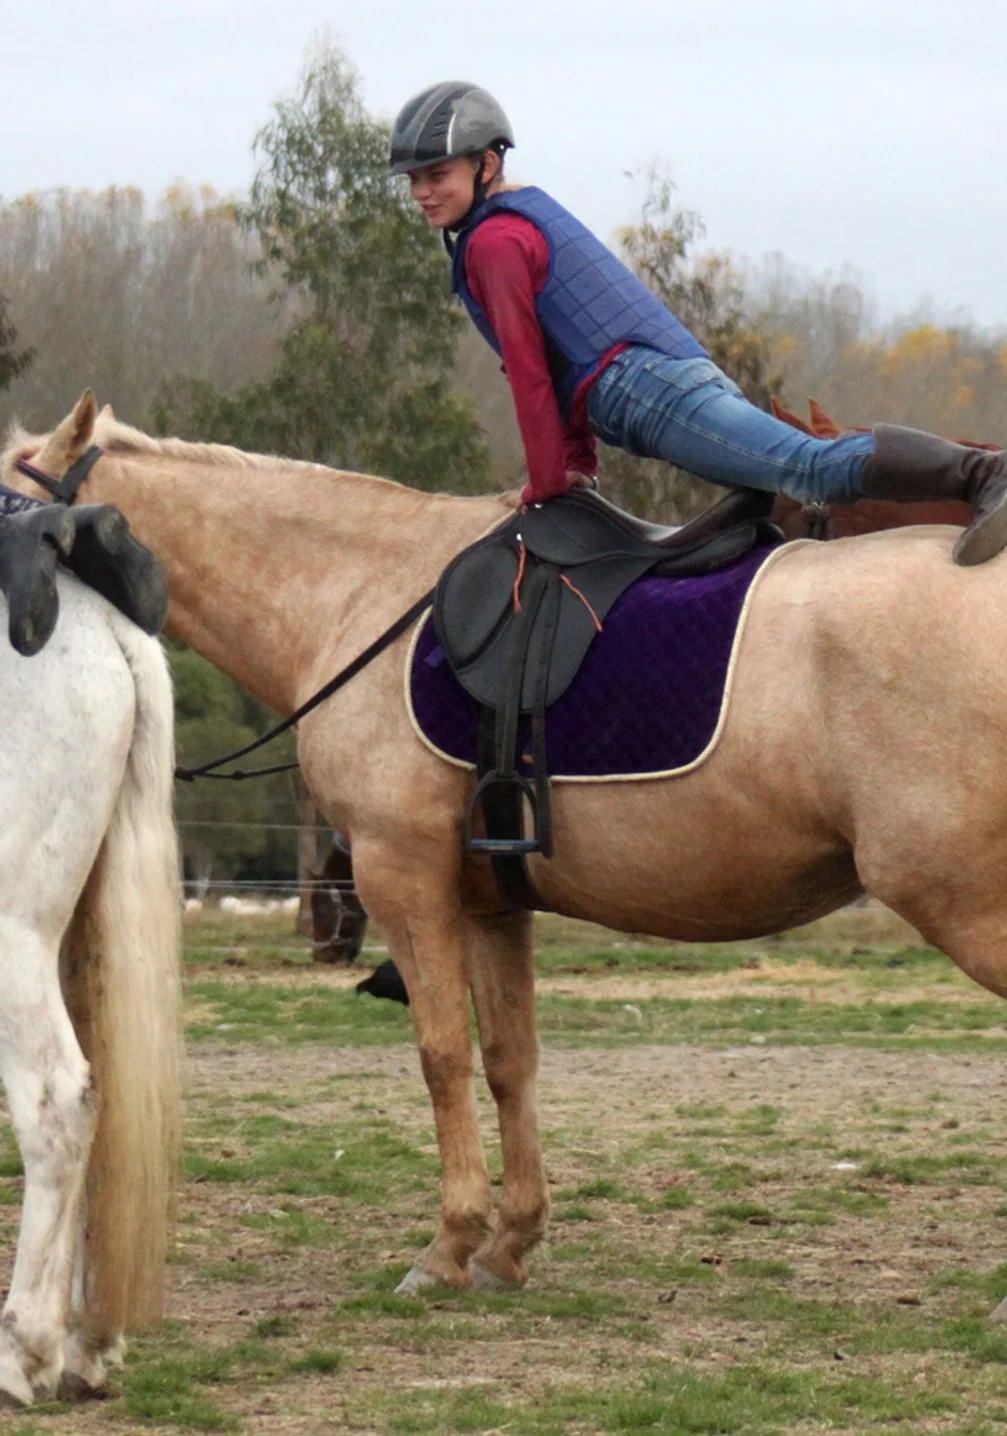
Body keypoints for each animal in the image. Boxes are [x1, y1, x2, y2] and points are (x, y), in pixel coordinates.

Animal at [10, 390, 1007, 1318]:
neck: (360, 591)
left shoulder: (403, 879)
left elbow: (441, 1053)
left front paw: (450, 1243)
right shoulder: (490, 901)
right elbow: (507, 1059)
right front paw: (511, 1241)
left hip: (961, 903)